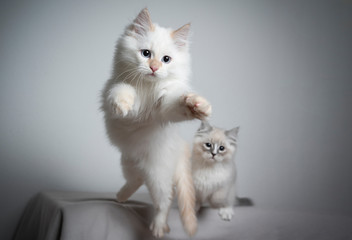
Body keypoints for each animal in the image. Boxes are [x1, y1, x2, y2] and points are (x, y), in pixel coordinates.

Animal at [100, 7, 210, 238]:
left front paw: (197, 105)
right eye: (146, 54)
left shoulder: (164, 107)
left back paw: (158, 227)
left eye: (166, 59)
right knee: (137, 180)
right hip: (128, 162)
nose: (154, 67)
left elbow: (178, 104)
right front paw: (123, 104)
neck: (147, 89)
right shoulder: (115, 86)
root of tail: (181, 147)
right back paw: (120, 196)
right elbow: (123, 90)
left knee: (165, 200)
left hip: (158, 175)